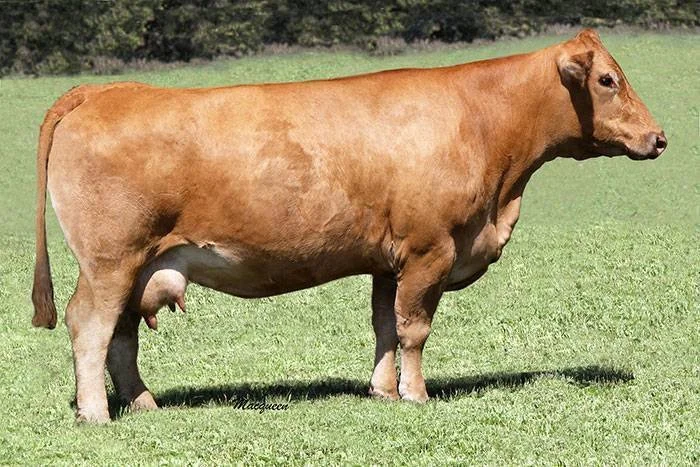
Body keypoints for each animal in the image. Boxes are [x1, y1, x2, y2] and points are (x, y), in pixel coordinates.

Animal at [31, 29, 666, 422]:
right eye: (607, 80)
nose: (659, 137)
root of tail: (105, 89)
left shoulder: (390, 260)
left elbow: (385, 326)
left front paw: (382, 392)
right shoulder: (431, 249)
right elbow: (414, 329)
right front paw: (416, 395)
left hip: (139, 264)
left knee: (121, 334)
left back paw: (142, 404)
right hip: (111, 259)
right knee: (90, 324)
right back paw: (95, 413)